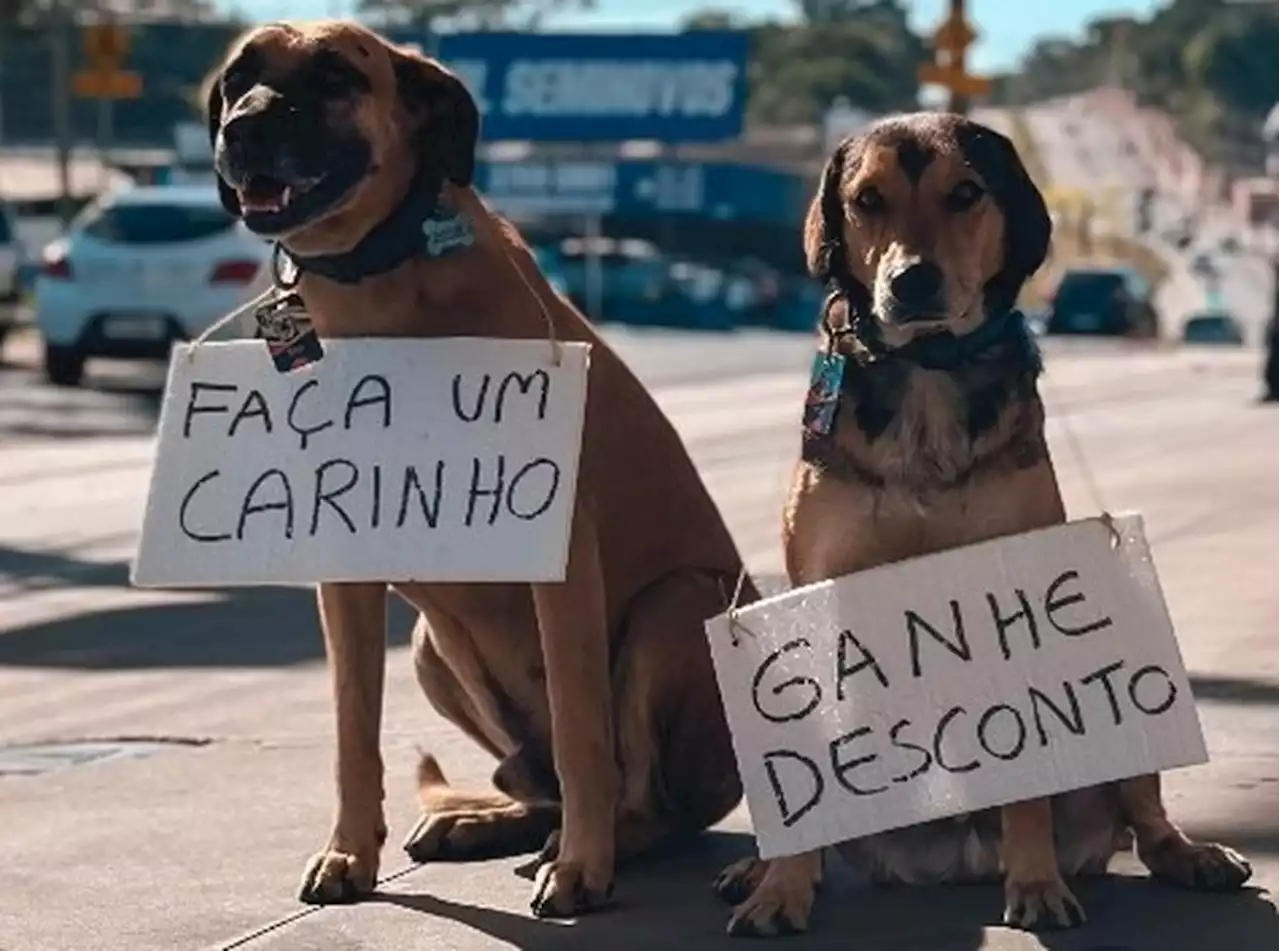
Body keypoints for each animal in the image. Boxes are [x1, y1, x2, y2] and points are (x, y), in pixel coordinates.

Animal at [204, 20, 752, 916]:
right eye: (236, 78)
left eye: (333, 75)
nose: (242, 129)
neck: (381, 284)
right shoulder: (345, 566)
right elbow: (353, 729)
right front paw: (349, 851)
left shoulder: (560, 556)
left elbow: (582, 728)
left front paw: (582, 867)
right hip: (430, 645)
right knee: (542, 783)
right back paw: (486, 820)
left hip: (675, 608)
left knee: (647, 798)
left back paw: (590, 845)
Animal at [711, 111, 1249, 936]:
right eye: (867, 200)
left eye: (964, 193)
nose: (912, 281)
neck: (928, 369)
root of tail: (953, 857)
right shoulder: (814, 591)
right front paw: (781, 889)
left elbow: (1027, 787)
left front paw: (1034, 882)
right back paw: (760, 868)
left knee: (1148, 821)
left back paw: (1193, 856)